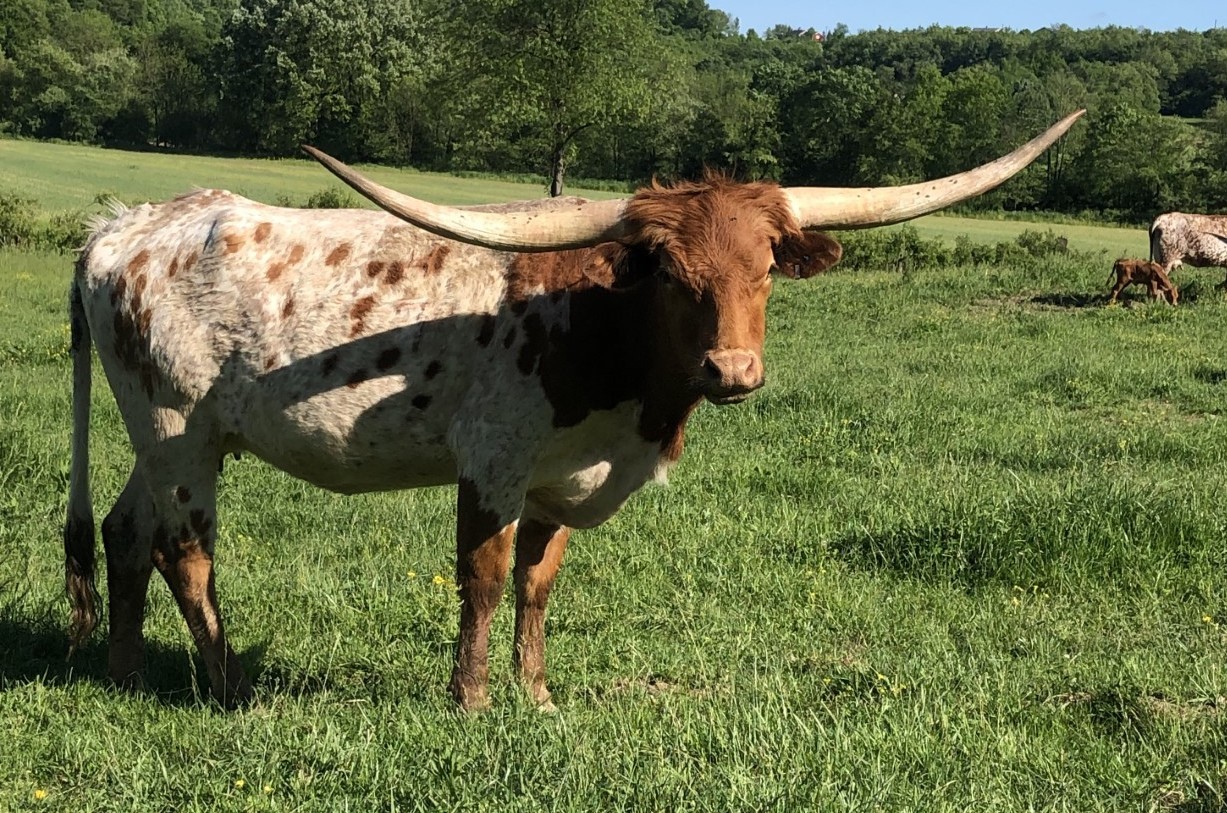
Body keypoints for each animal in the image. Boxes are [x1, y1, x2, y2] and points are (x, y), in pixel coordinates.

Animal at [63, 111, 1084, 711]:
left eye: (763, 267)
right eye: (669, 272)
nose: (733, 369)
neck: (598, 325)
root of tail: (123, 226)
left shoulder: (562, 477)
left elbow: (537, 583)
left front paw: (538, 696)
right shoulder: (493, 462)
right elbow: (482, 577)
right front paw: (471, 702)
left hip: (160, 435)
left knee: (121, 532)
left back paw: (121, 672)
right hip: (179, 433)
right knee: (184, 553)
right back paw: (230, 684)